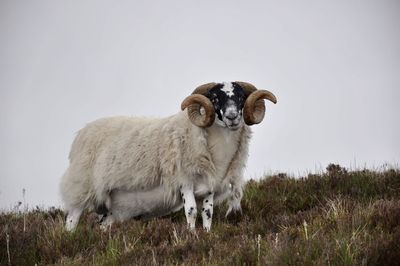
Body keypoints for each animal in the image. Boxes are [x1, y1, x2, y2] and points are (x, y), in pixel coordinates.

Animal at [60, 81, 278, 231]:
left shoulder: (209, 186)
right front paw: (191, 235)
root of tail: (82, 132)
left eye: (241, 97)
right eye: (215, 98)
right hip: (81, 186)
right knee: (72, 218)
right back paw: (70, 238)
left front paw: (207, 234)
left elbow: (207, 213)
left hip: (112, 205)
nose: (232, 117)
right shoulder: (184, 181)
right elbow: (191, 211)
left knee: (104, 225)